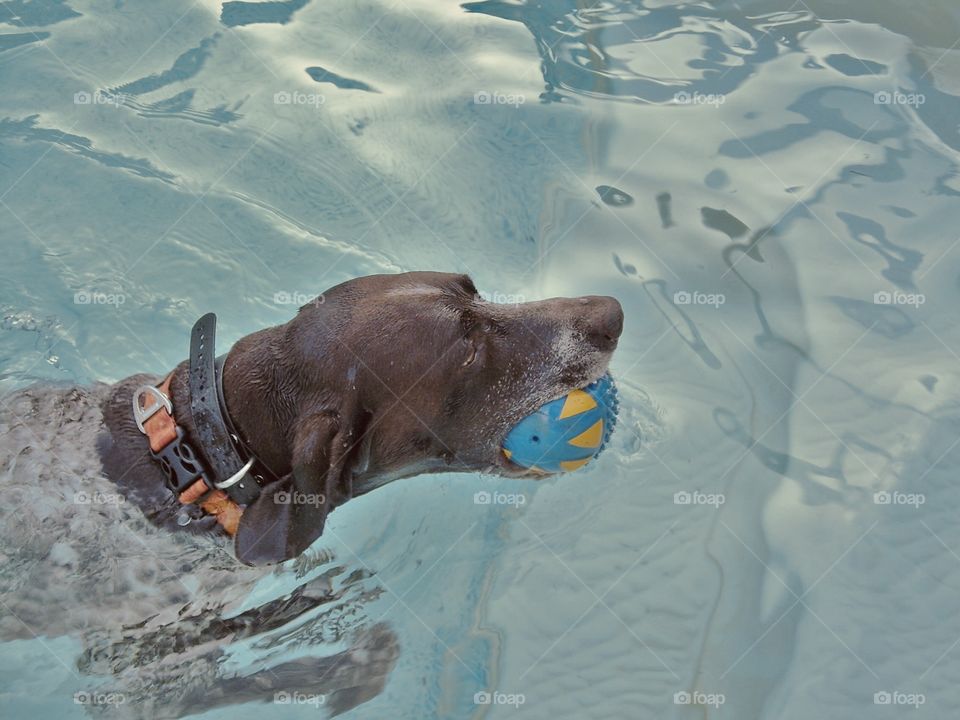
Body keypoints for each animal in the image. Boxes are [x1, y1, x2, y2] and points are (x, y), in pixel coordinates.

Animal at [0, 272, 624, 716]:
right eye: (467, 350)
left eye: (472, 288)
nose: (612, 313)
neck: (195, 458)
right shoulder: (144, 674)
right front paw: (357, 664)